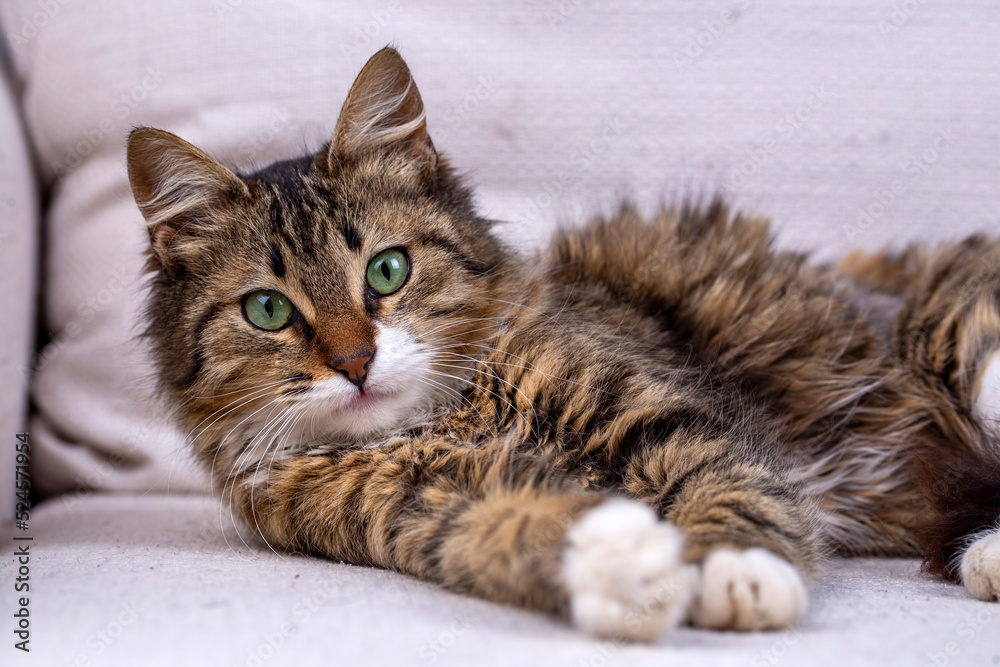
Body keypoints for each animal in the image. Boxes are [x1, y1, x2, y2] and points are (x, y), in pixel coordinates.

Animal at [125, 48, 1000, 640]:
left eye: (387, 269)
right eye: (269, 310)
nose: (354, 362)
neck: (446, 419)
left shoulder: (668, 410)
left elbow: (728, 484)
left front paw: (737, 570)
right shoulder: (420, 510)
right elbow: (510, 530)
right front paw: (621, 564)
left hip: (958, 344)